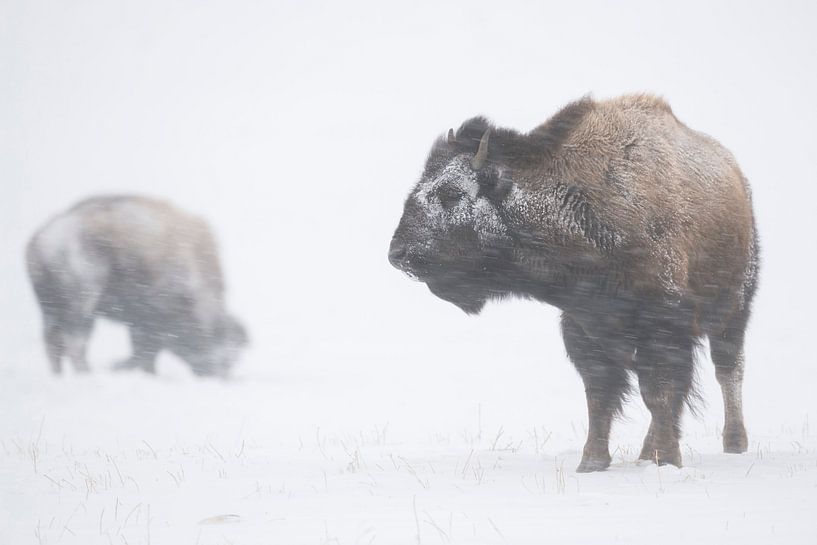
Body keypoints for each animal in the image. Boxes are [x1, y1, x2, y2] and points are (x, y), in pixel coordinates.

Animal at [27, 195, 247, 377]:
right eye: (228, 356)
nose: (220, 376)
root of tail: (42, 239)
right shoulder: (150, 318)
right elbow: (146, 349)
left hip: (51, 309)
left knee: (53, 343)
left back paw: (59, 375)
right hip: (82, 305)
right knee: (74, 343)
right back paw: (87, 374)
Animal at [389, 94, 759, 471]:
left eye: (451, 194)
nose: (397, 253)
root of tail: (737, 177)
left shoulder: (663, 325)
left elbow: (660, 392)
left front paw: (667, 460)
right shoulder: (585, 328)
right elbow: (600, 396)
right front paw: (592, 462)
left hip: (734, 309)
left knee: (728, 370)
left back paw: (733, 443)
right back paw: (647, 452)